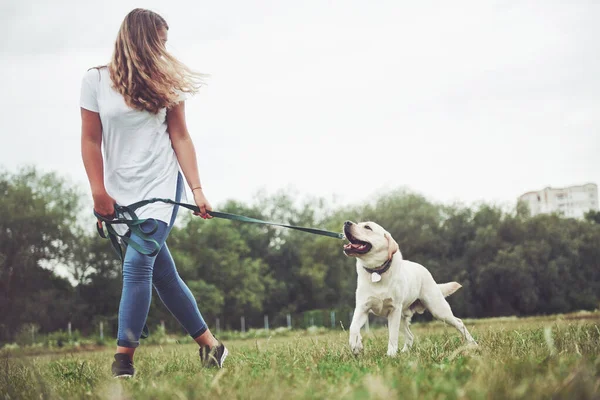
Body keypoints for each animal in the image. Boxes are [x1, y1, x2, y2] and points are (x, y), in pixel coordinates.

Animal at [342, 222, 478, 356]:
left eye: (367, 227)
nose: (346, 222)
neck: (377, 271)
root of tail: (424, 270)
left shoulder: (394, 310)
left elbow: (393, 336)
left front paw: (391, 355)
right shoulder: (362, 308)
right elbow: (353, 327)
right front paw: (356, 346)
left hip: (438, 310)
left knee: (459, 322)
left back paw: (473, 344)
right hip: (403, 318)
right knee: (410, 336)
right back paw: (404, 352)